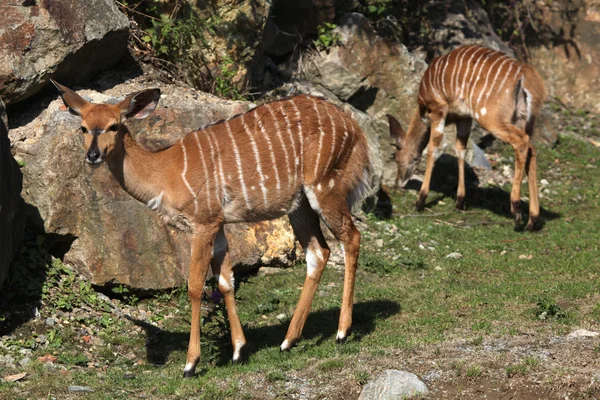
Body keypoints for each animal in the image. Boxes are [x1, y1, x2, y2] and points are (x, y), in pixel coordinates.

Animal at [50, 80, 370, 378]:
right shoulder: (219, 225)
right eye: (83, 128)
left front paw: (191, 364)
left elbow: (195, 287)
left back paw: (342, 333)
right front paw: (239, 351)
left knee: (351, 238)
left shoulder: (202, 224)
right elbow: (225, 281)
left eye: (113, 126)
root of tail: (354, 127)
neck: (165, 171)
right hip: (299, 205)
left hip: (325, 188)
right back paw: (288, 341)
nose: (93, 155)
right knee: (319, 252)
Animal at [390, 44, 548, 231]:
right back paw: (532, 220)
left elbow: (434, 148)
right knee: (531, 149)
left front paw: (420, 201)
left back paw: (516, 212)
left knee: (521, 142)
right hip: (524, 120)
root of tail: (526, 77)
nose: (398, 183)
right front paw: (460, 201)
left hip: (491, 118)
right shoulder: (464, 117)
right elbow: (461, 149)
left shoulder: (438, 109)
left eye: (397, 158)